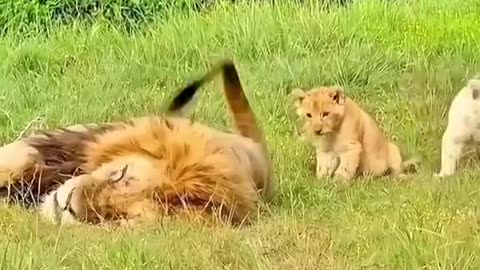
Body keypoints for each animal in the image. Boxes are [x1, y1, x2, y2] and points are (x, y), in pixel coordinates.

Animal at [290, 85, 418, 180]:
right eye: (309, 115)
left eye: (325, 114)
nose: (317, 130)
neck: (332, 133)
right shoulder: (326, 151)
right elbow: (323, 167)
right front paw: (321, 183)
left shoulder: (351, 147)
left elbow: (344, 169)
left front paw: (338, 184)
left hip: (393, 149)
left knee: (396, 171)